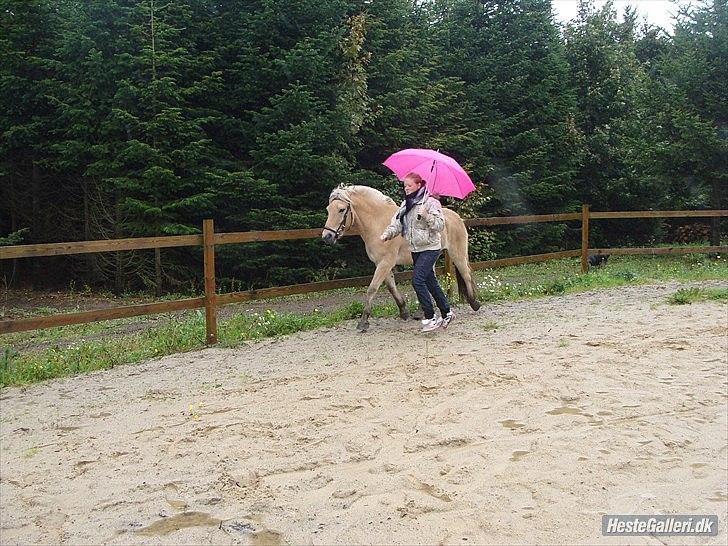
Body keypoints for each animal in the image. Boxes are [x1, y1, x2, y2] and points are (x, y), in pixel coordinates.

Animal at [322, 183, 480, 330]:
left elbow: (372, 288)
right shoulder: (381, 264)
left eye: (341, 210)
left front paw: (363, 322)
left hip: (457, 254)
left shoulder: (385, 263)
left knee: (466, 274)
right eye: (328, 209)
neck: (377, 222)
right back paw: (421, 312)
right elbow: (391, 287)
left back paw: (474, 303)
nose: (327, 237)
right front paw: (403, 312)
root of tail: (457, 217)